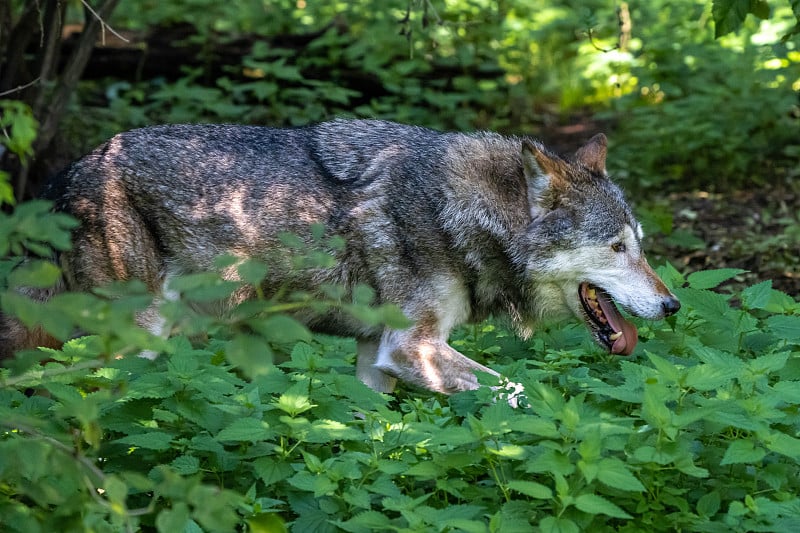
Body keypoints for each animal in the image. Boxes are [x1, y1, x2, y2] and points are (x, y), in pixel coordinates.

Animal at [0, 119, 680, 394]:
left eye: (640, 244)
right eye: (615, 248)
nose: (673, 305)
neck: (464, 215)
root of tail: (66, 176)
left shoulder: (376, 356)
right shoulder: (413, 349)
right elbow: (519, 394)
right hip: (137, 340)